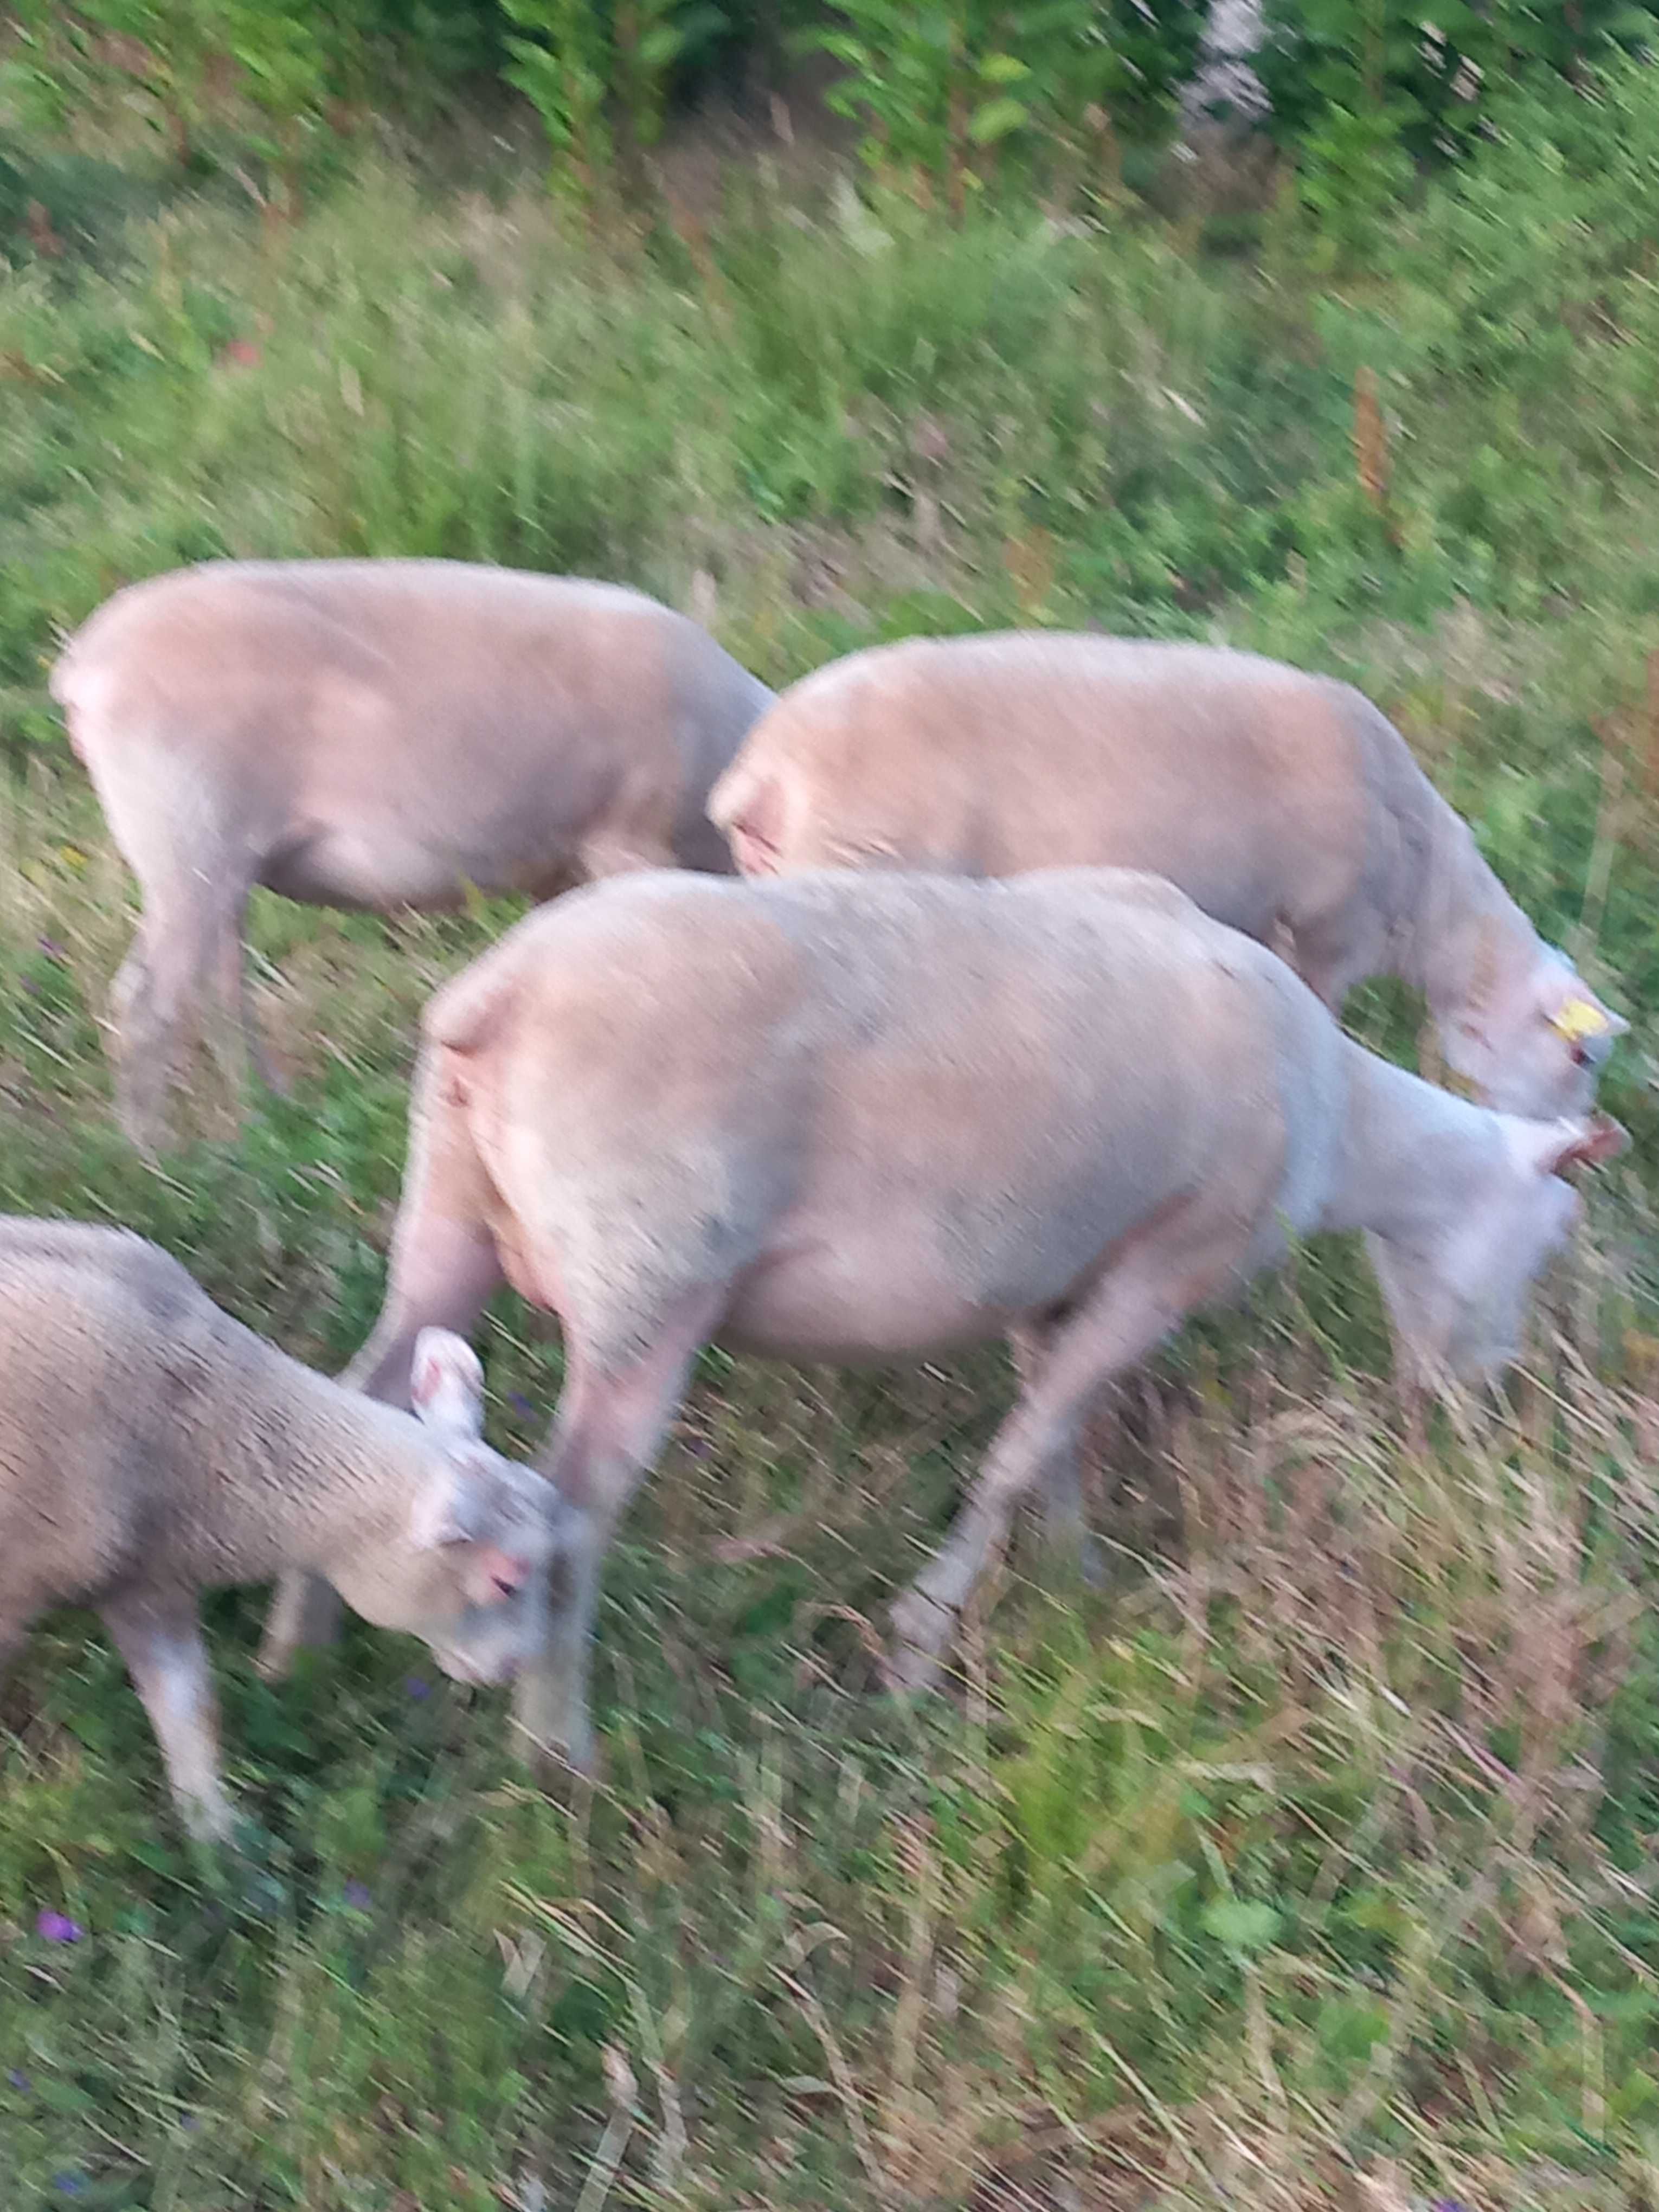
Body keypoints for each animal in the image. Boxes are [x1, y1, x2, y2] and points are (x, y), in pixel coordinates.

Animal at [50, 553, 779, 1150]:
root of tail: (84, 666)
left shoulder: (561, 870)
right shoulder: (627, 842)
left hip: (219, 862)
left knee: (220, 995)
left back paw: (272, 1123)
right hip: (186, 834)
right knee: (146, 1004)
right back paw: (156, 1161)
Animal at [253, 867, 1628, 1778]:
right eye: (1551, 1239)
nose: (1479, 1403)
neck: (1347, 1127)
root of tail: (499, 997)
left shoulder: (1053, 1265)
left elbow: (1051, 1432)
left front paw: (1073, 1581)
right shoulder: (1171, 1261)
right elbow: (1022, 1447)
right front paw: (918, 1648)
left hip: (448, 1217)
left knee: (364, 1400)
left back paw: (292, 1658)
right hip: (650, 1281)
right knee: (573, 1514)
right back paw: (562, 1750)